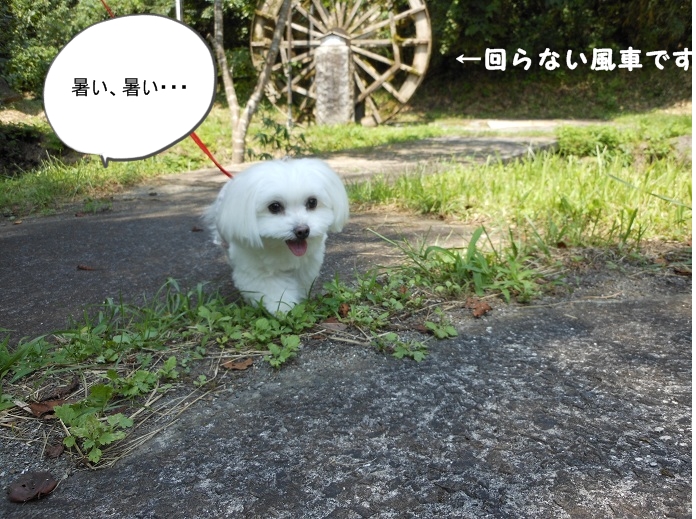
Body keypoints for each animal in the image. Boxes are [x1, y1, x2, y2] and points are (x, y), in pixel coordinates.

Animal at [205, 158, 349, 312]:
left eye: (312, 202)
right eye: (274, 206)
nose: (302, 231)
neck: (282, 249)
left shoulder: (307, 264)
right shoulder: (257, 270)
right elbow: (273, 291)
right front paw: (282, 308)